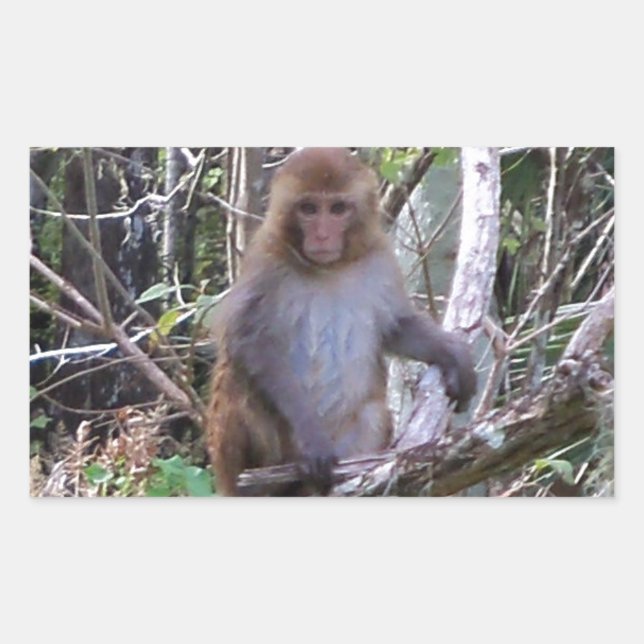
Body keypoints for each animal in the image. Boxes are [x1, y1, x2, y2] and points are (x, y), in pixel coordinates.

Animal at [206, 147, 476, 495]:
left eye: (337, 209)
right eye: (308, 209)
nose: (322, 235)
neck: (328, 269)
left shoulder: (379, 258)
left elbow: (396, 327)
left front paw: (451, 353)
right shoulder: (265, 262)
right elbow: (248, 341)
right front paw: (309, 432)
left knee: (372, 414)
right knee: (237, 377)